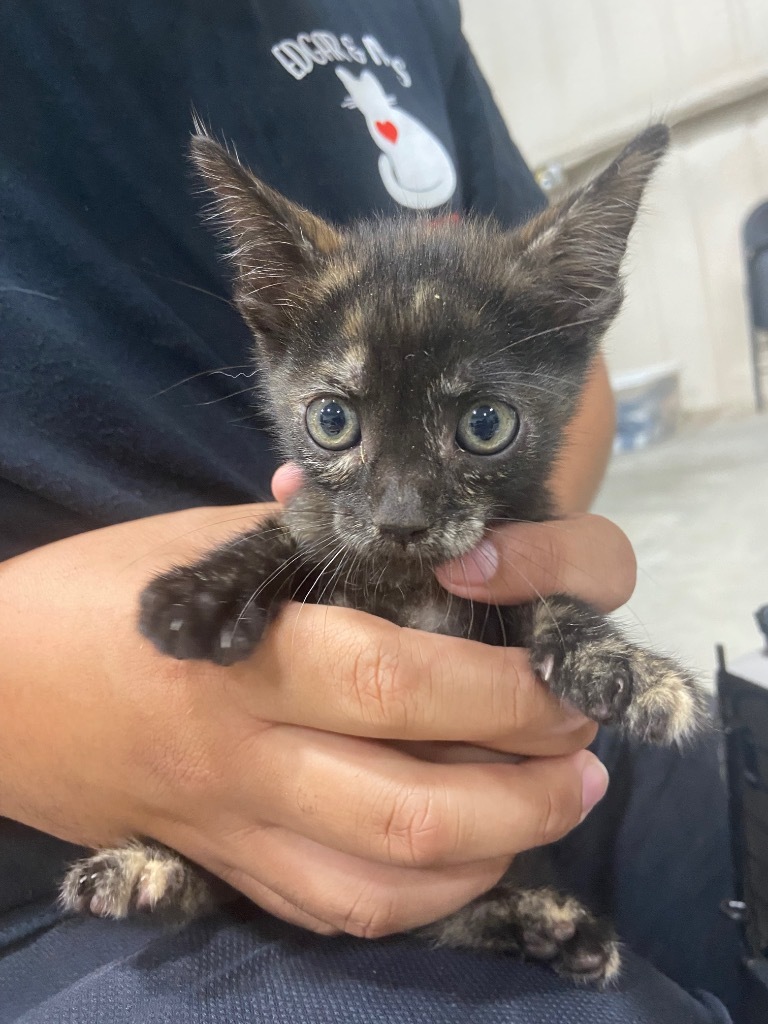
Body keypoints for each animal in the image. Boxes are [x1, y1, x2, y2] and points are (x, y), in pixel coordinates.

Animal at [61, 123, 708, 987]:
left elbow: (549, 599)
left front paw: (619, 663)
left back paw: (547, 923)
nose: (402, 519)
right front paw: (203, 595)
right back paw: (148, 870)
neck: (406, 581)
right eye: (332, 421)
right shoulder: (320, 522)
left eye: (485, 426)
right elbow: (297, 528)